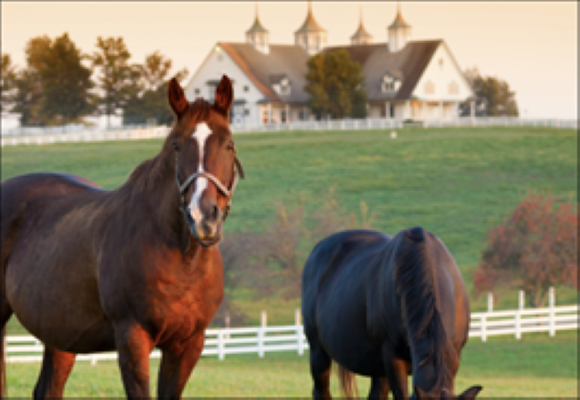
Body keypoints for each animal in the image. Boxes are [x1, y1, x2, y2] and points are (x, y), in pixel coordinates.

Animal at [0, 74, 245, 396]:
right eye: (177, 146)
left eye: (229, 145)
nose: (202, 216)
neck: (182, 259)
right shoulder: (132, 339)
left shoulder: (187, 345)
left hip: (61, 332)